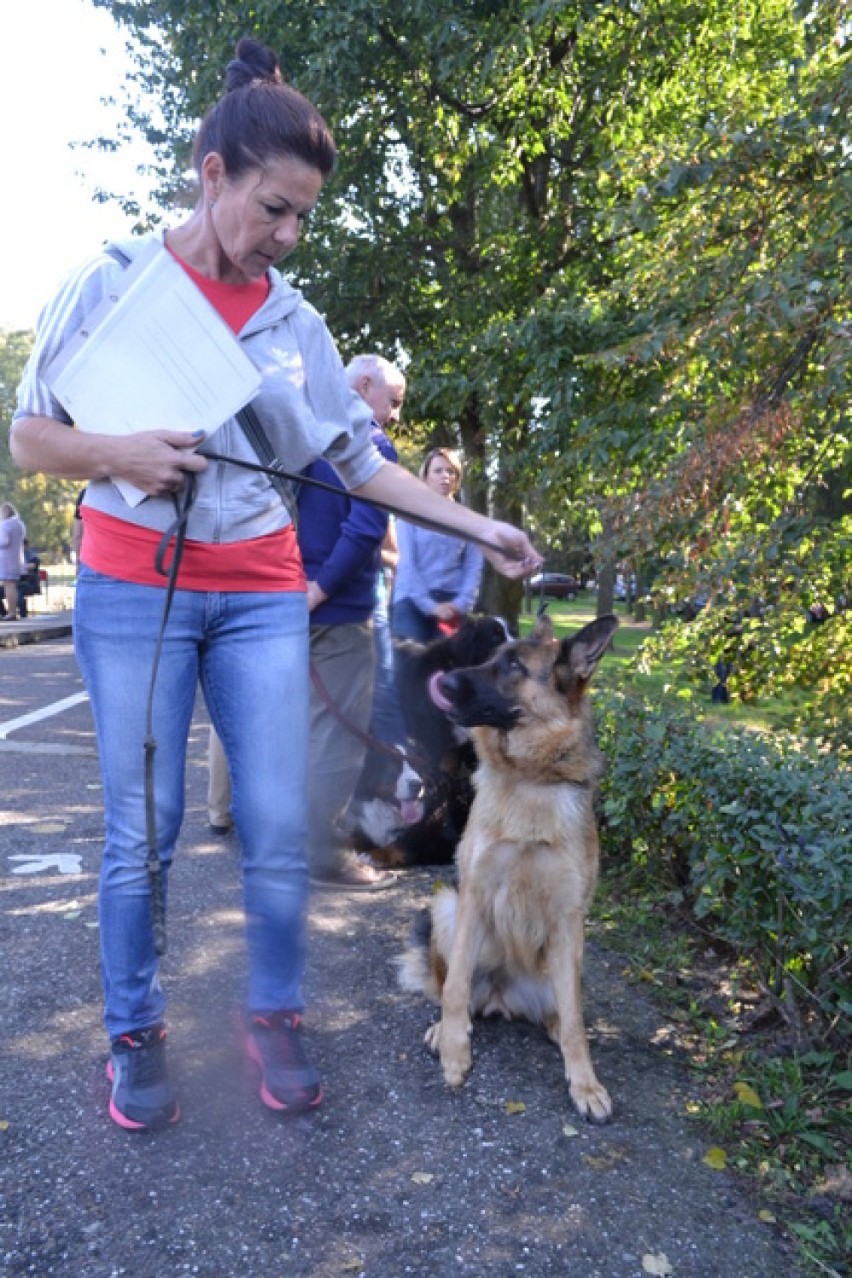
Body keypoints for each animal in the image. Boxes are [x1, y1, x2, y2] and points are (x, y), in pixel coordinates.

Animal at [401, 608, 620, 1119]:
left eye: (515, 666)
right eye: (490, 656)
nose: (442, 678)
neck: (530, 778)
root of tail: (503, 996)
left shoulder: (569, 918)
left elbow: (576, 1020)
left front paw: (584, 1083)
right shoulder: (474, 893)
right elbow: (455, 989)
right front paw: (454, 1051)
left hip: (569, 959)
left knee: (564, 1010)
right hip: (448, 907)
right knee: (452, 986)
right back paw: (446, 1029)